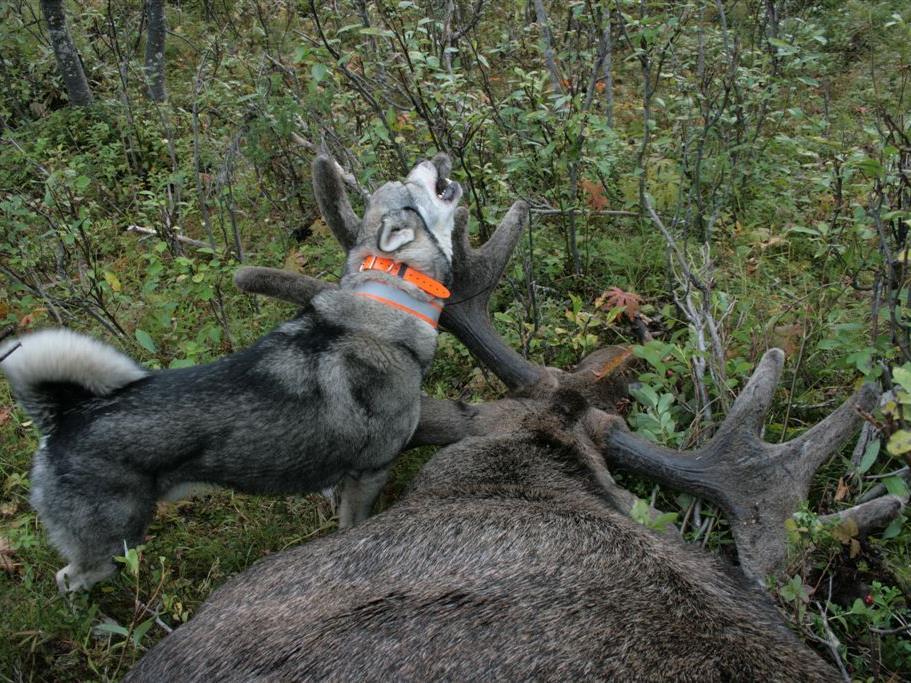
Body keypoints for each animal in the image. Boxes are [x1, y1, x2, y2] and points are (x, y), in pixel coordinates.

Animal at [0, 155, 464, 592]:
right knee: (71, 577)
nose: (431, 159)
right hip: (113, 541)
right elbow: (355, 525)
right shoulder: (370, 472)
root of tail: (64, 417)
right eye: (410, 183)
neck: (387, 300)